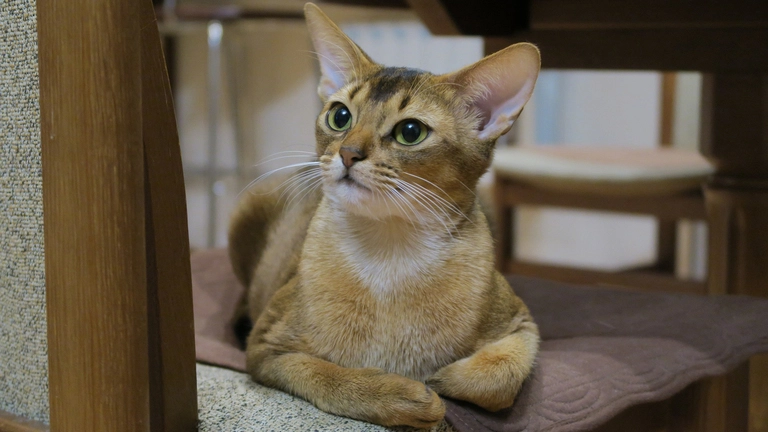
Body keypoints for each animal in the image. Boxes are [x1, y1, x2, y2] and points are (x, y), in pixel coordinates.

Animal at [228, 3, 540, 428]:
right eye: (339, 116)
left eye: (410, 131)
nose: (348, 153)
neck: (389, 253)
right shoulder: (264, 348)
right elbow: (326, 375)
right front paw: (403, 395)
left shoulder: (523, 323)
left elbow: (501, 379)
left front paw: (441, 379)